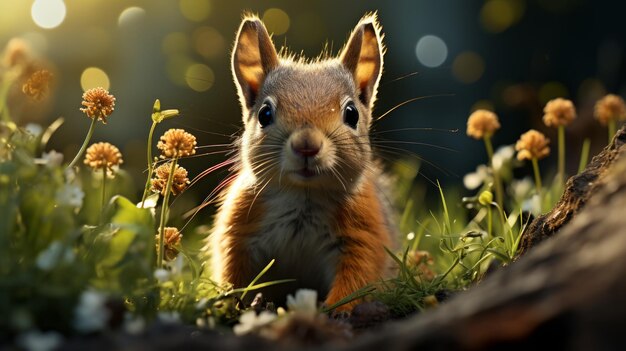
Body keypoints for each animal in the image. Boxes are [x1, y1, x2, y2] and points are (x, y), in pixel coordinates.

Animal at [208, 13, 394, 310]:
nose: (307, 145)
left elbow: (357, 279)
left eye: (352, 113)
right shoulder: (239, 231)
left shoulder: (364, 235)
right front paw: (232, 305)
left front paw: (335, 310)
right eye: (265, 114)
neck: (303, 195)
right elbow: (233, 274)